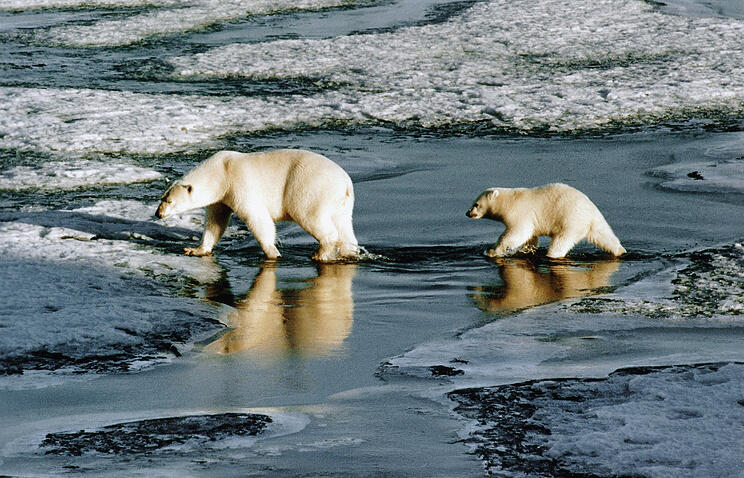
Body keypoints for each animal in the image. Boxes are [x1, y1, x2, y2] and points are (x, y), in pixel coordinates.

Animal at [155, 149, 358, 262]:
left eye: (170, 201)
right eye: (161, 198)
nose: (158, 214)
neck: (220, 171)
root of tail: (345, 183)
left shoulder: (238, 183)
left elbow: (257, 217)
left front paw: (272, 253)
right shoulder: (221, 197)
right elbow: (215, 223)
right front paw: (195, 250)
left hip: (309, 187)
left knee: (309, 215)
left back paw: (320, 253)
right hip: (341, 202)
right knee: (344, 225)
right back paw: (349, 252)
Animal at [468, 182, 624, 258]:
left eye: (476, 204)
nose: (468, 213)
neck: (509, 200)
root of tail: (590, 212)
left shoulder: (520, 212)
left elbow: (518, 233)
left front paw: (493, 251)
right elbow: (530, 237)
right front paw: (527, 249)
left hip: (570, 221)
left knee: (561, 242)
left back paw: (551, 255)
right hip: (593, 222)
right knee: (605, 236)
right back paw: (620, 251)